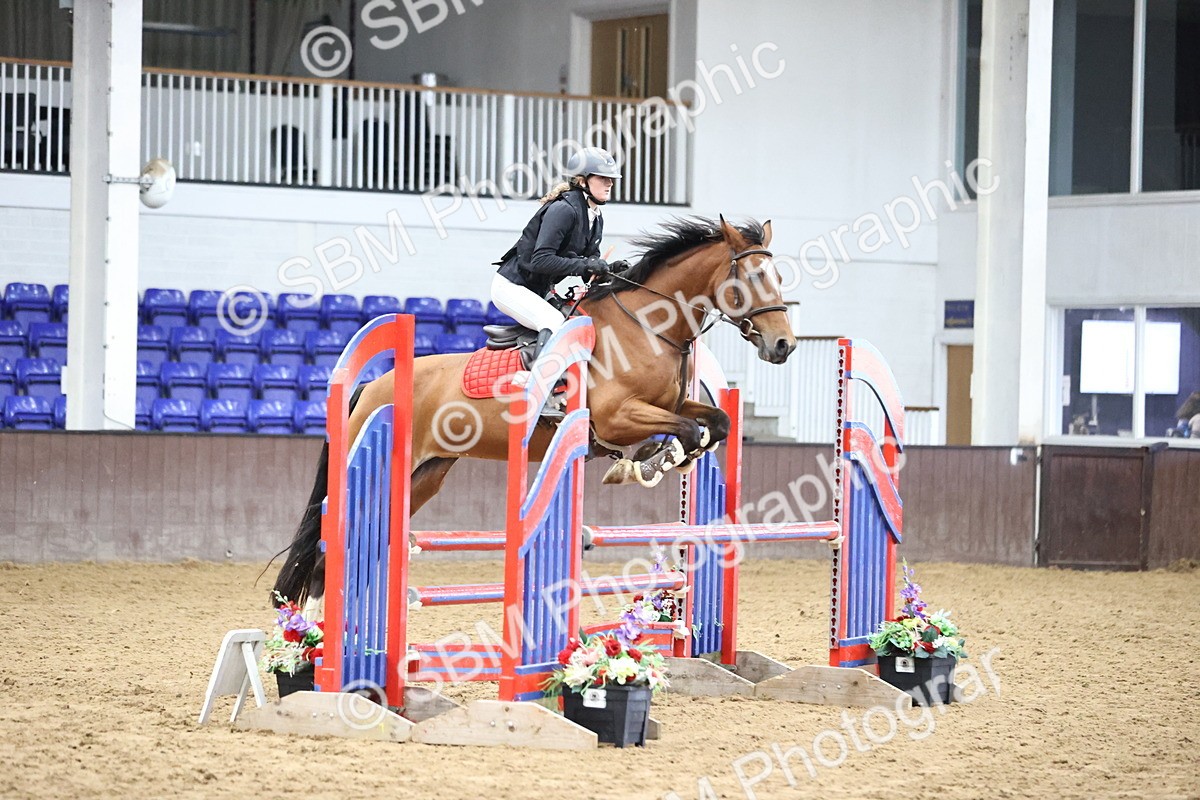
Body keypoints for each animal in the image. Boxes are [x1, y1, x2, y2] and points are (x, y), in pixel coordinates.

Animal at [272, 215, 796, 607]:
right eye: (752, 277)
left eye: (778, 277)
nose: (784, 345)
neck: (648, 326)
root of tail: (369, 387)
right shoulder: (614, 417)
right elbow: (687, 431)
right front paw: (647, 464)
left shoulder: (667, 405)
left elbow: (714, 424)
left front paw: (656, 459)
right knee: (330, 544)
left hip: (426, 474)